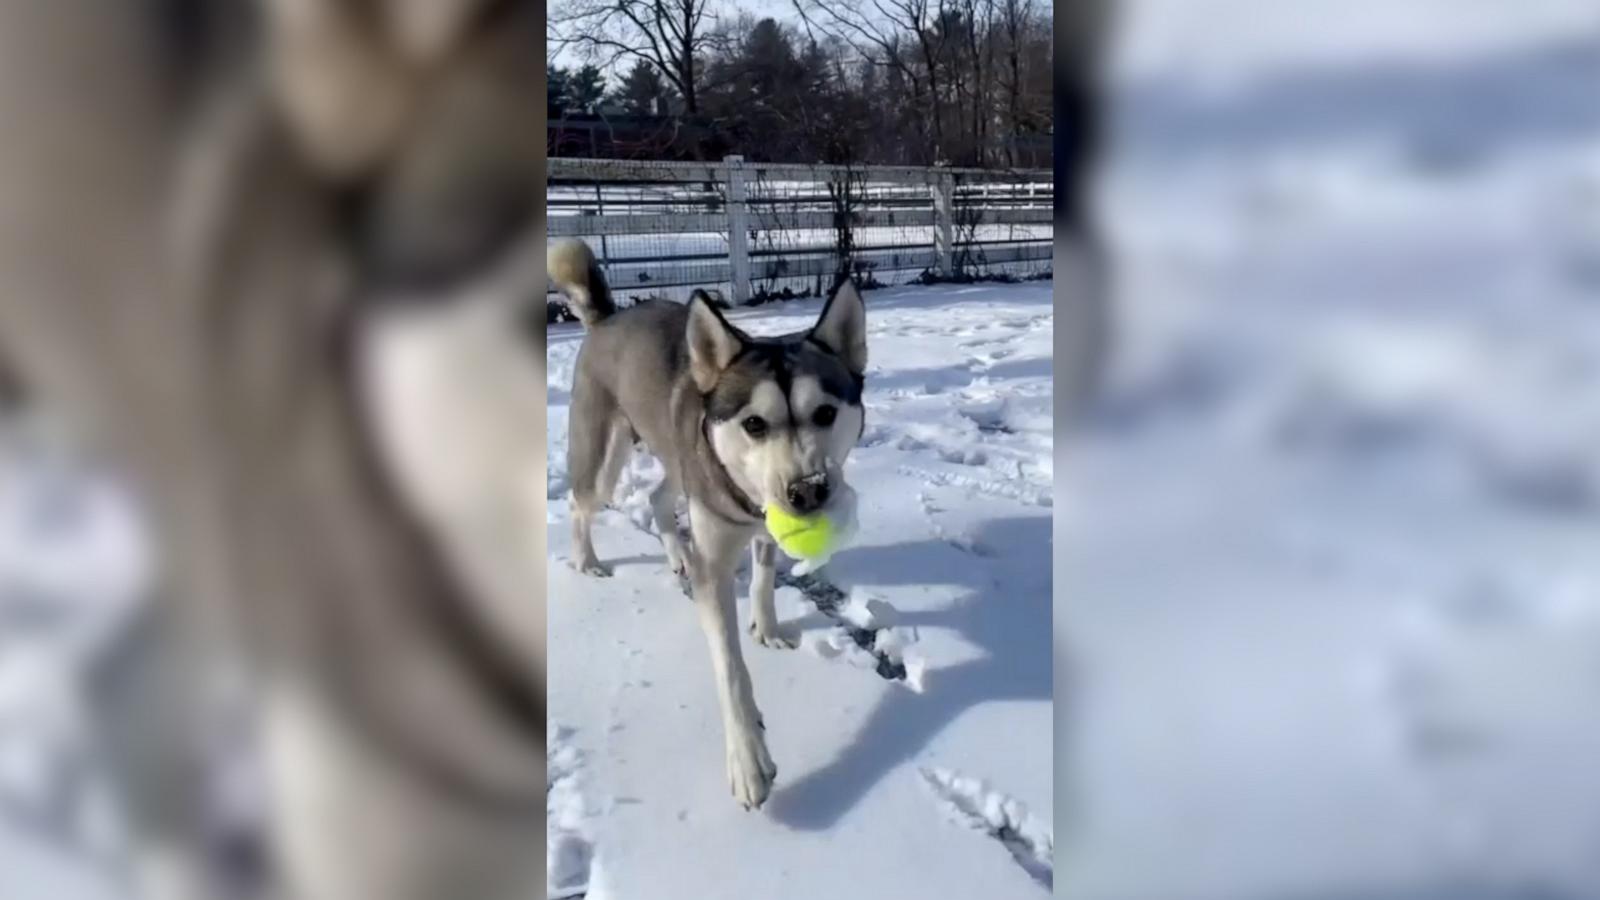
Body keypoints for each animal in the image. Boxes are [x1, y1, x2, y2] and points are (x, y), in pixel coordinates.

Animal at [556, 237, 870, 807]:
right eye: (754, 423)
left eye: (826, 413)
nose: (808, 491)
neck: (747, 501)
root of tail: (607, 317)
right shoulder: (717, 557)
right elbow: (730, 668)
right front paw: (749, 761)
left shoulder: (761, 528)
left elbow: (764, 576)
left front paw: (767, 628)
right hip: (606, 458)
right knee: (582, 503)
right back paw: (586, 560)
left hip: (679, 462)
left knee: (659, 498)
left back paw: (678, 555)